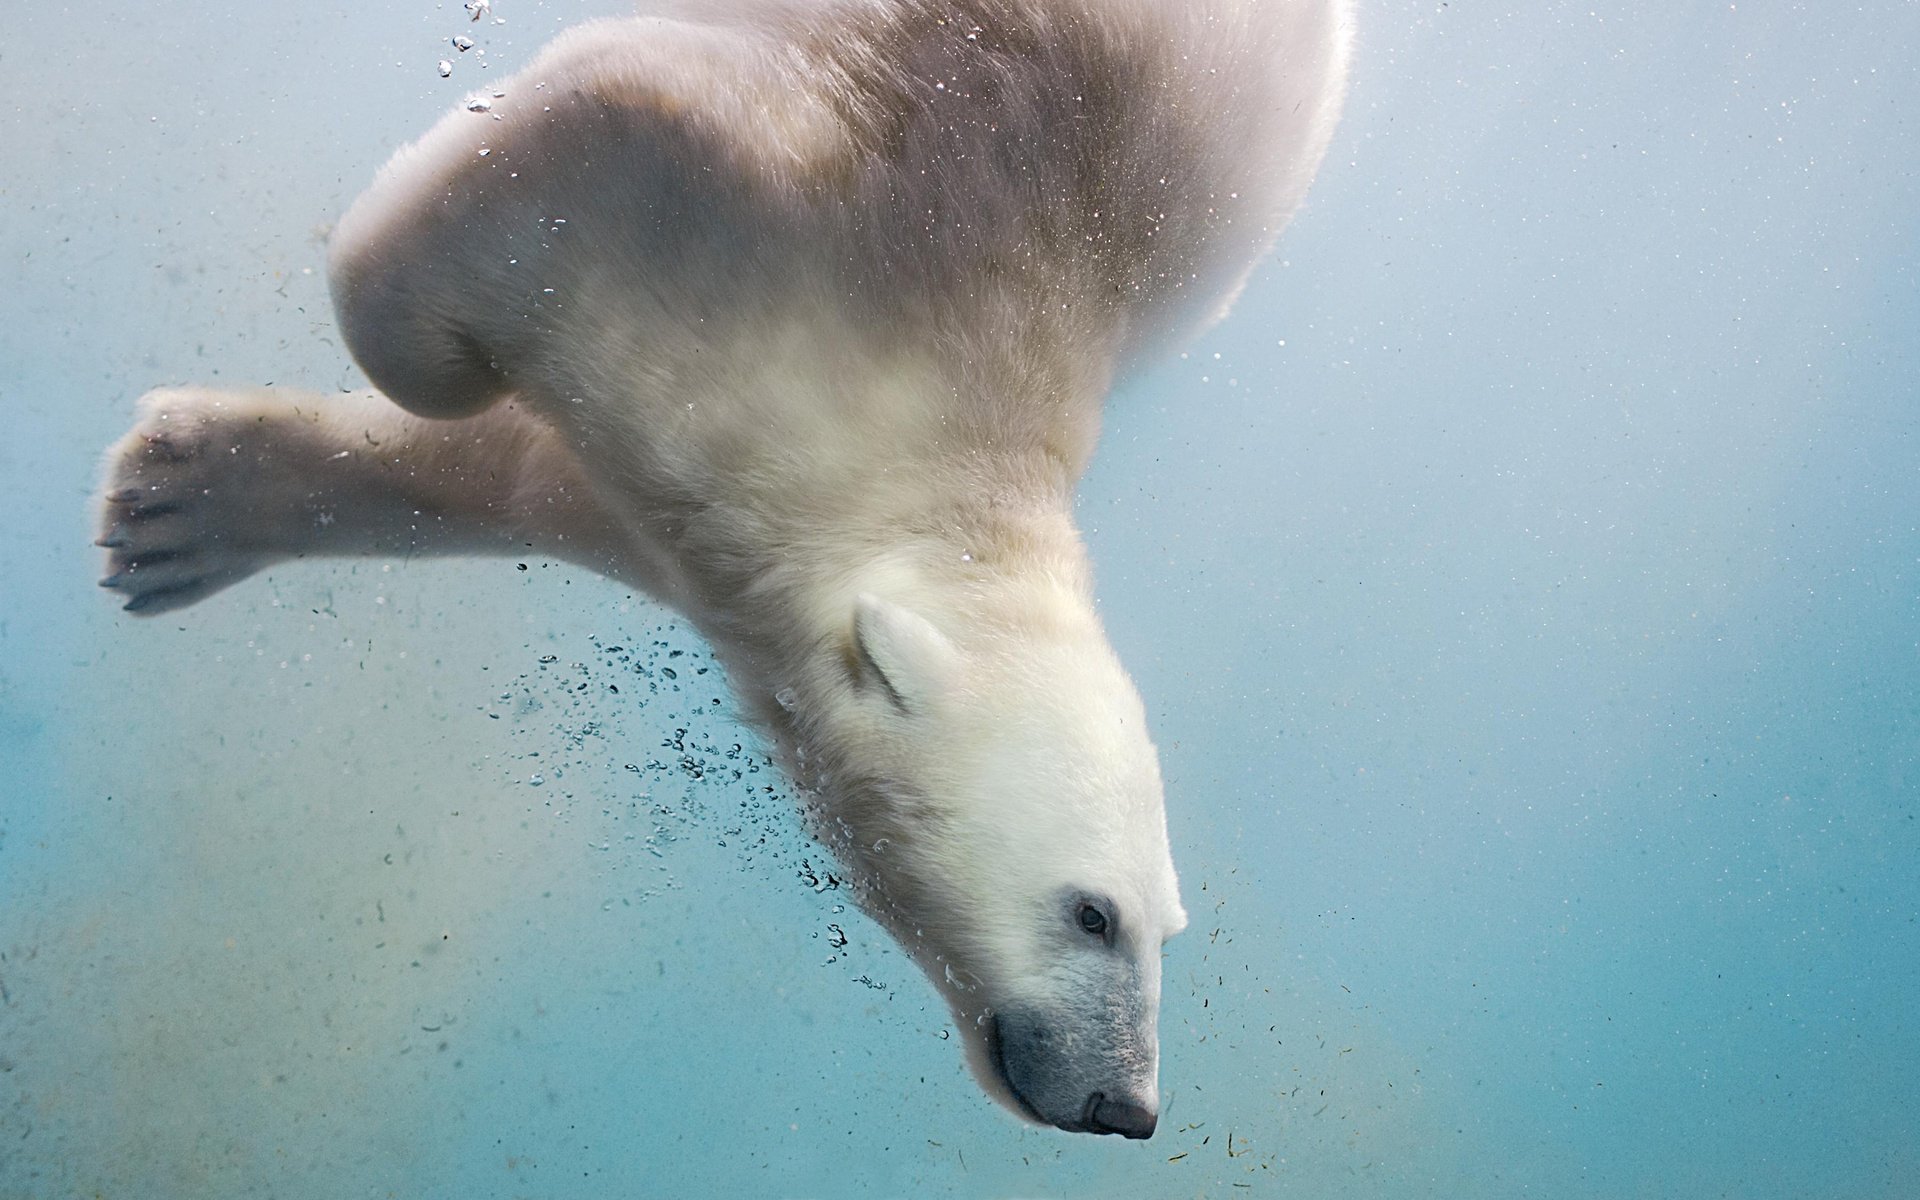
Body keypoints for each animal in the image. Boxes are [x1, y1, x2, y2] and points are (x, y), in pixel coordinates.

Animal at [90, 0, 1351, 1128]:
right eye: (1093, 914)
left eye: (1168, 928)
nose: (1127, 1108)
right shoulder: (800, 196)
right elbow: (568, 153)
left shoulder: (704, 507)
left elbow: (522, 475)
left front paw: (176, 504)